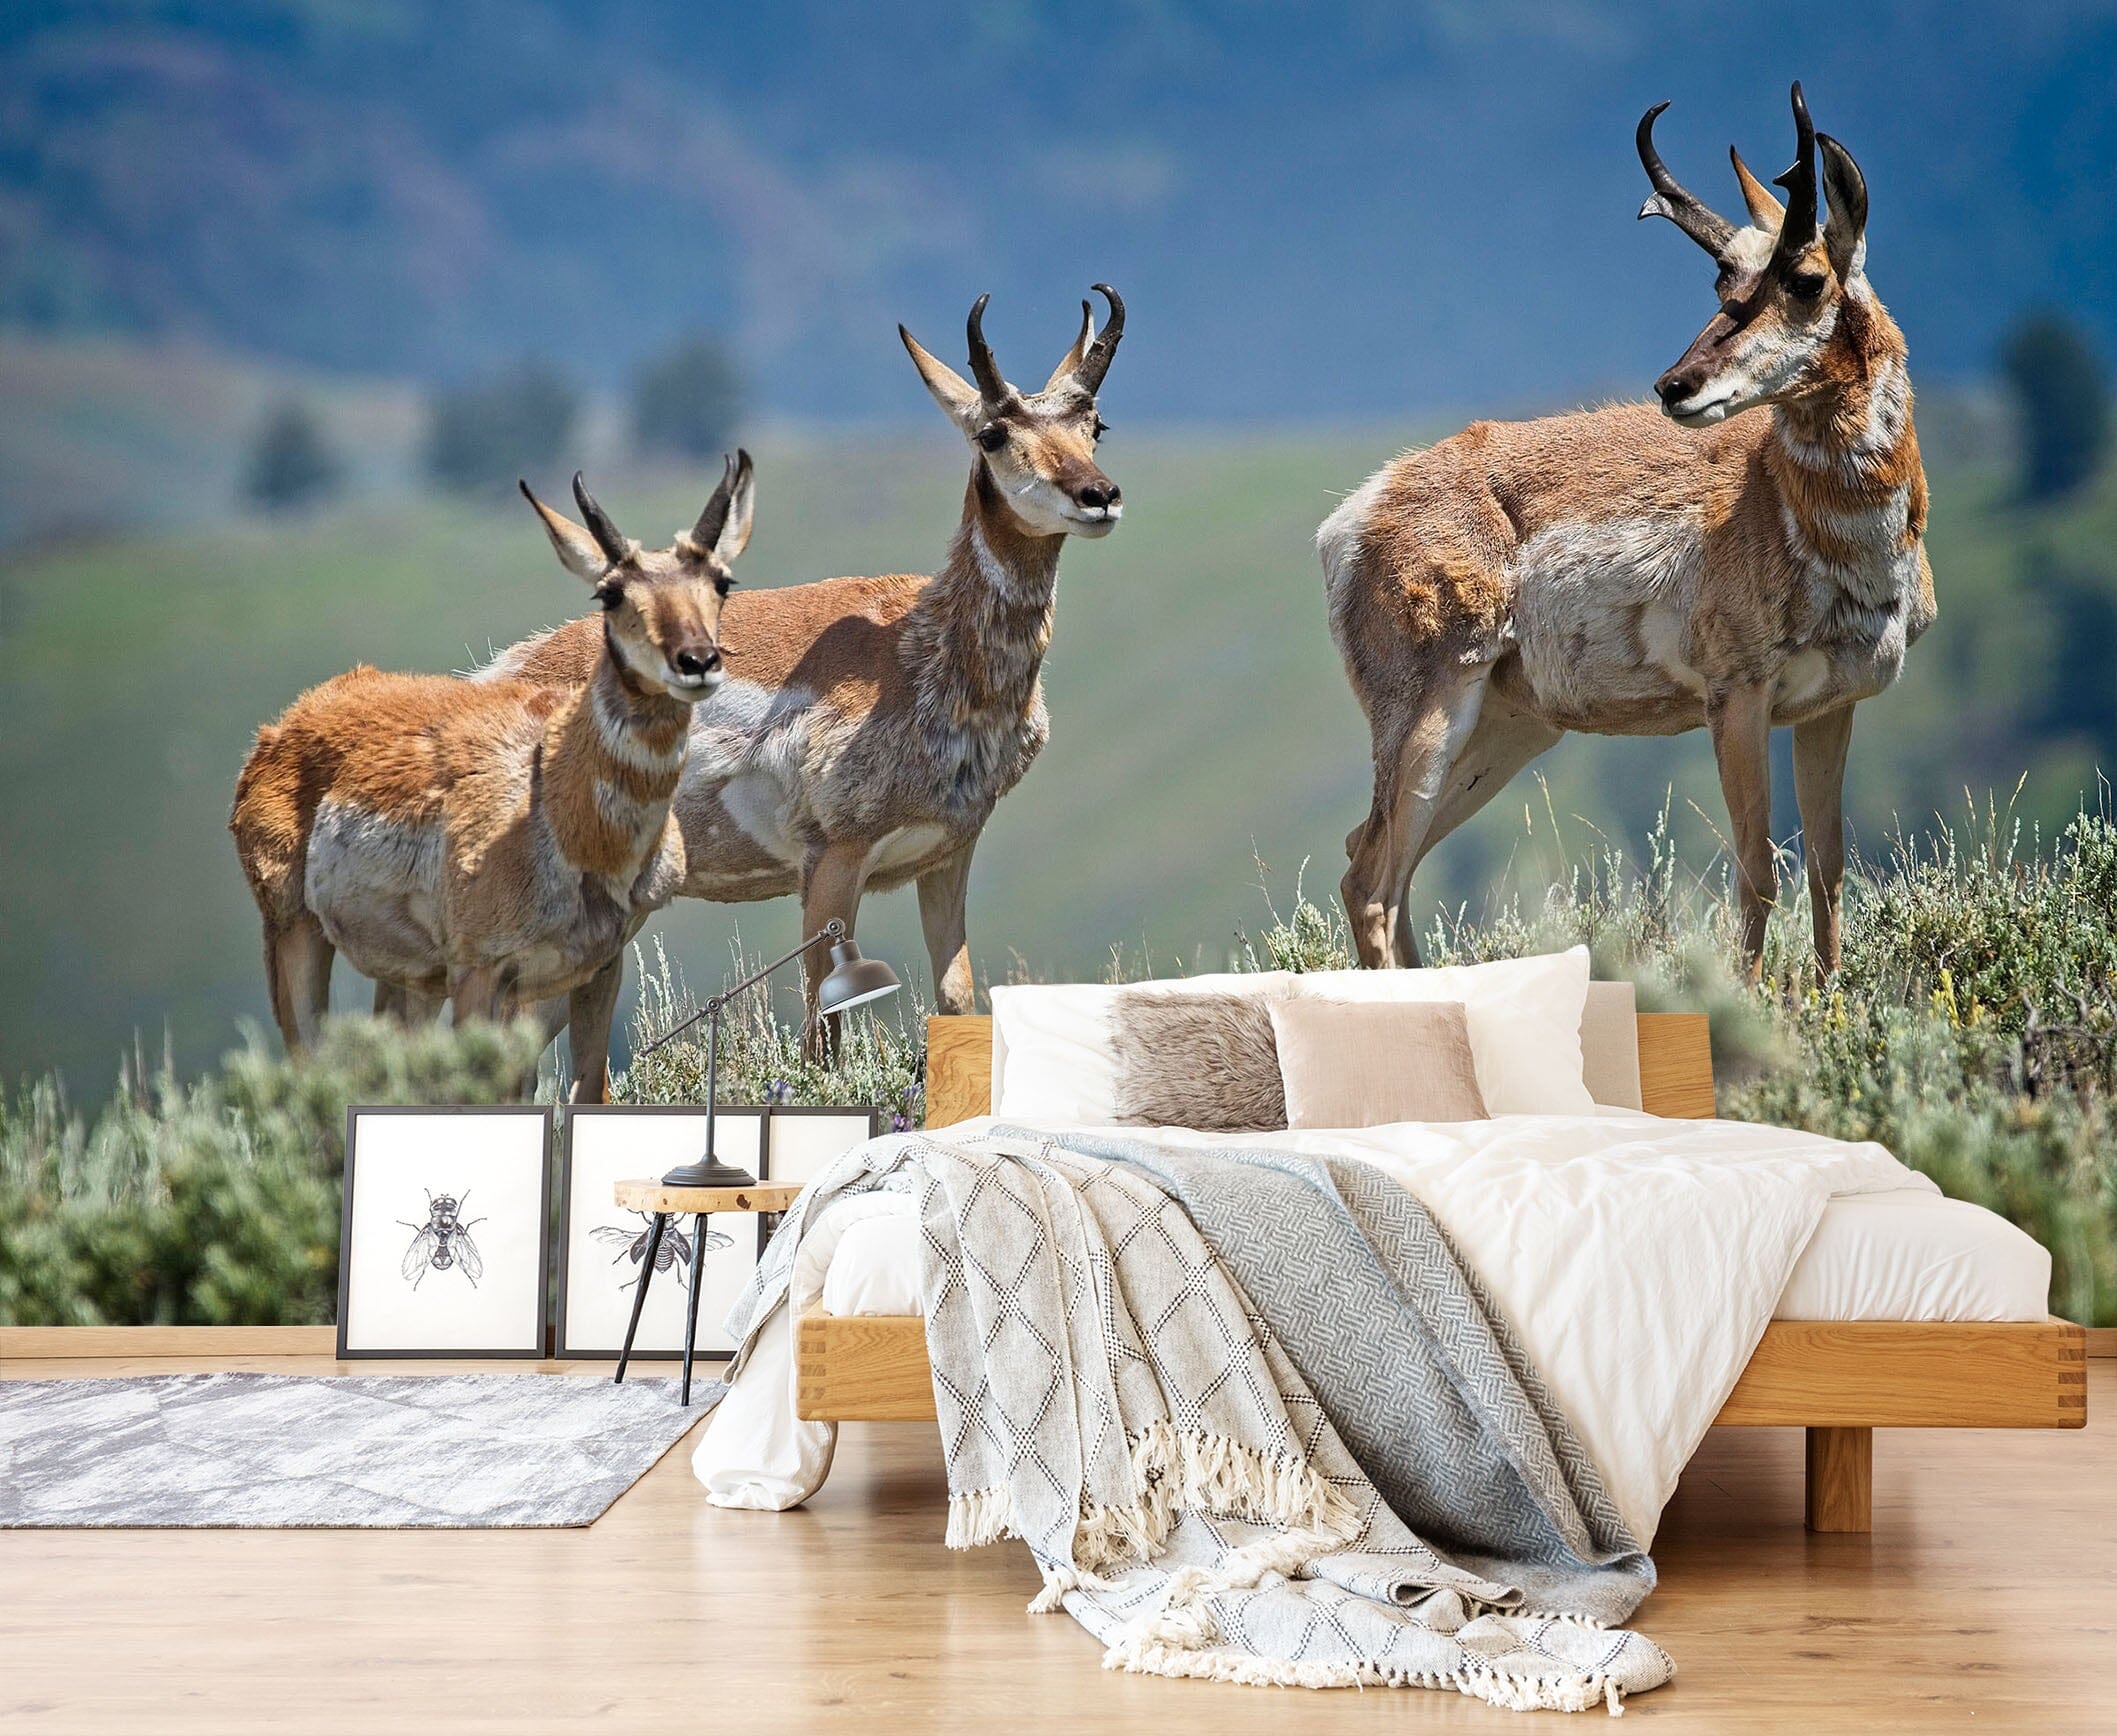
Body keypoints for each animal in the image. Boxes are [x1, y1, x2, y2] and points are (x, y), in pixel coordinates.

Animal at [230, 458, 755, 1099]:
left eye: (721, 582)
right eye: (610, 592)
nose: (697, 662)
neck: (555, 803)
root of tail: (291, 719)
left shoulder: (597, 970)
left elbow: (587, 1091)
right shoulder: (480, 975)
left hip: (410, 978)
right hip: (295, 933)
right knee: (310, 1069)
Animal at [480, 288, 1125, 1031]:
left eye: (1095, 425)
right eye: (991, 433)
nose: (1099, 496)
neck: (921, 648)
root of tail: (498, 672)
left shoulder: (947, 854)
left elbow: (957, 996)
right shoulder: (831, 864)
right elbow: (824, 1016)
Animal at [1321, 85, 1930, 978]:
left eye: (1804, 278)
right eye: (1720, 280)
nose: (1674, 385)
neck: (1789, 506)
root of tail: (1361, 507)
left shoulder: (1829, 705)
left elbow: (1827, 871)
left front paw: (1827, 999)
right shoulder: (1735, 697)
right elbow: (1756, 874)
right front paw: (1756, 1005)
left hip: (1507, 731)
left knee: (1384, 868)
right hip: (1429, 713)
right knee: (1367, 878)